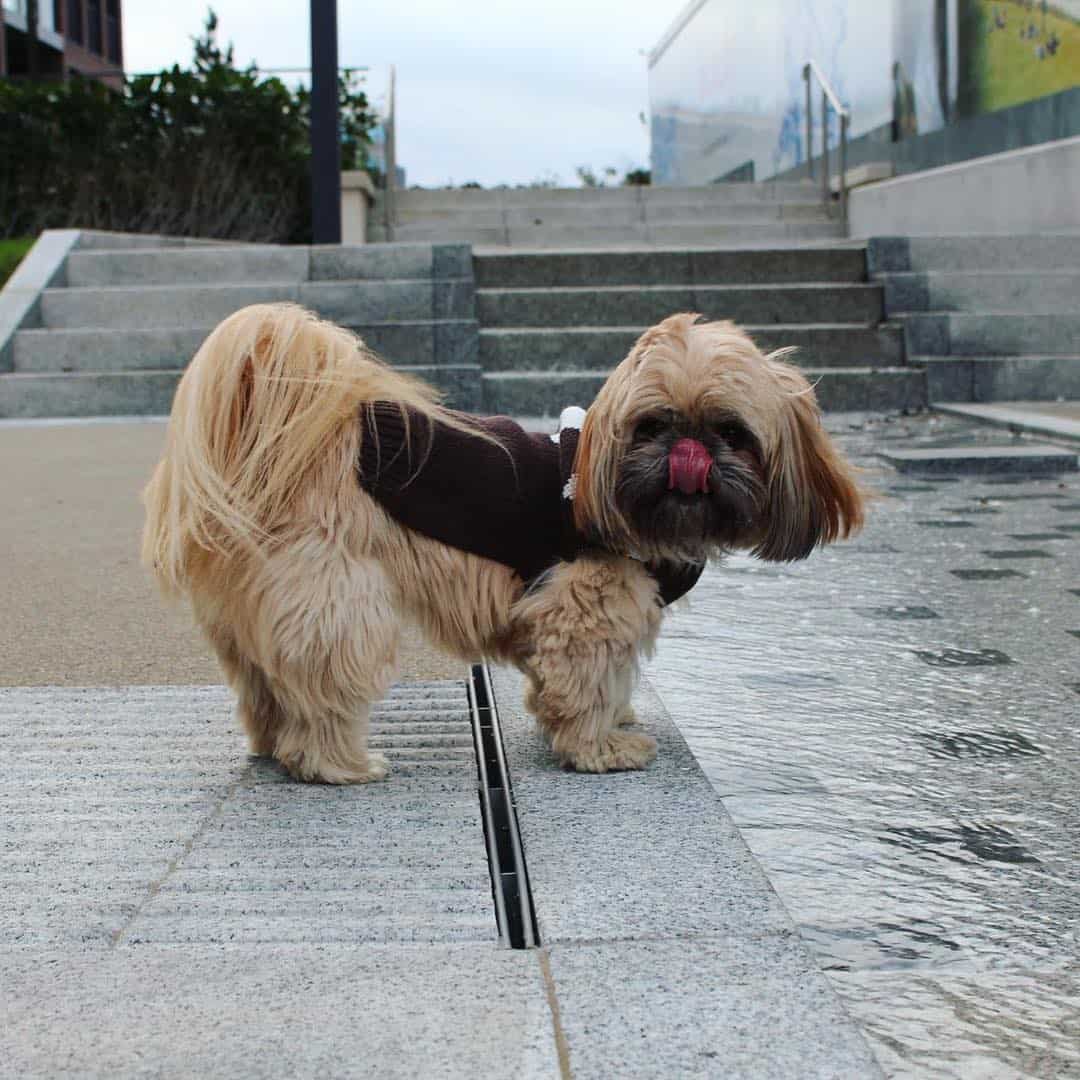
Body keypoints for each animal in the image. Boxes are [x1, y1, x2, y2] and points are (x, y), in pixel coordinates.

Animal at [143, 304, 864, 786]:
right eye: (652, 425)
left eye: (732, 431)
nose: (687, 456)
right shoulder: (586, 605)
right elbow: (586, 682)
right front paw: (601, 747)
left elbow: (605, 679)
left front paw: (616, 722)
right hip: (336, 602)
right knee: (321, 685)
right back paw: (337, 762)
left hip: (260, 615)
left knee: (265, 687)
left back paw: (275, 745)